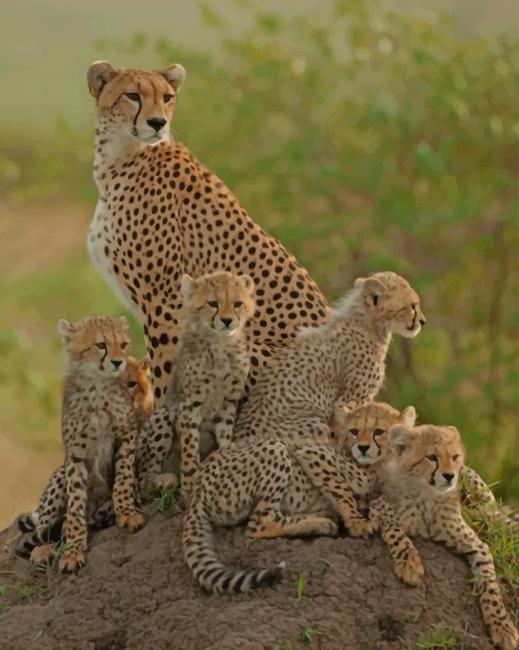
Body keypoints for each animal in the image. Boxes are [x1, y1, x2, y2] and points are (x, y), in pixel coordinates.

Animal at [86, 60, 329, 407]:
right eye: (132, 95)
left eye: (167, 96)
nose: (158, 122)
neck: (121, 157)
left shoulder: (168, 300)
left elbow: (165, 373)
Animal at [137, 270, 255, 494]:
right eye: (212, 303)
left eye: (237, 304)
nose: (227, 321)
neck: (220, 344)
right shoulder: (190, 404)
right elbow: (190, 449)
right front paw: (190, 485)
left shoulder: (228, 402)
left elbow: (225, 437)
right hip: (162, 416)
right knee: (143, 476)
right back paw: (162, 480)